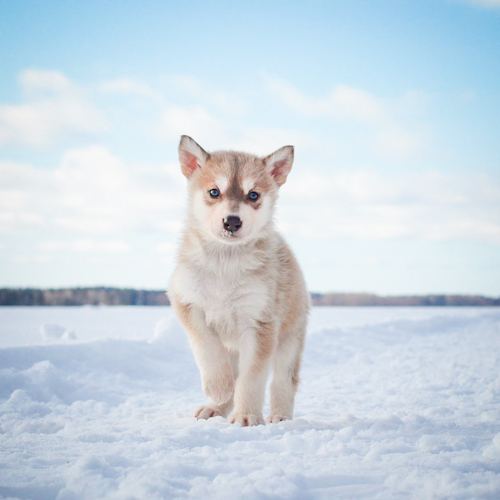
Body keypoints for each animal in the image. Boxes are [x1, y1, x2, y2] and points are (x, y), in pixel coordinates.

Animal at [168, 136, 308, 426]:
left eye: (253, 195)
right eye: (214, 192)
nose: (232, 221)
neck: (225, 263)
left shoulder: (260, 324)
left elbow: (251, 379)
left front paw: (246, 416)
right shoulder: (187, 302)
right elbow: (207, 348)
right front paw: (218, 386)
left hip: (289, 341)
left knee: (283, 382)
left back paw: (280, 416)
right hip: (233, 347)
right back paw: (215, 407)